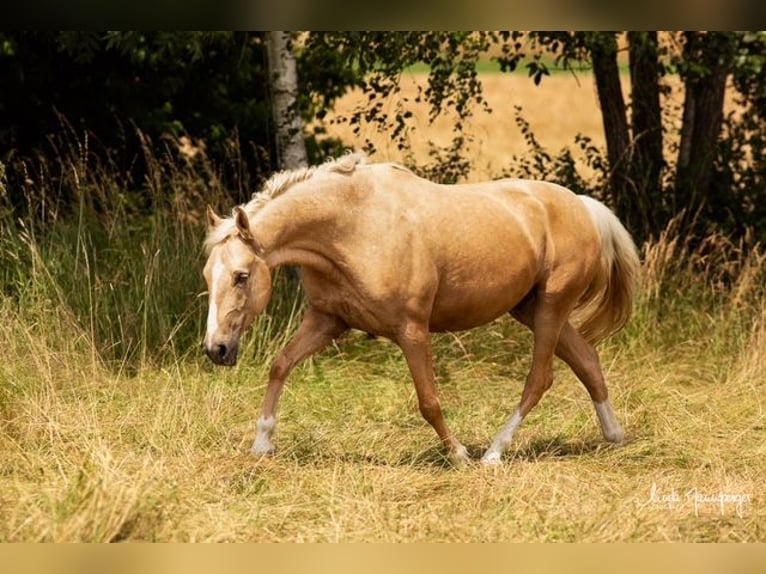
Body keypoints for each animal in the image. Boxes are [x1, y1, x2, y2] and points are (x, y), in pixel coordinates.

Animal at [204, 153, 640, 468]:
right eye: (208, 274)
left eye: (241, 276)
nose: (216, 349)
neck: (354, 227)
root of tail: (583, 206)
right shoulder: (327, 321)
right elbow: (280, 365)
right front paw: (262, 444)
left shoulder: (411, 329)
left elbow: (428, 401)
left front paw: (459, 455)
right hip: (531, 309)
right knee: (587, 360)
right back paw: (614, 436)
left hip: (551, 306)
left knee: (540, 379)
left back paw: (493, 453)